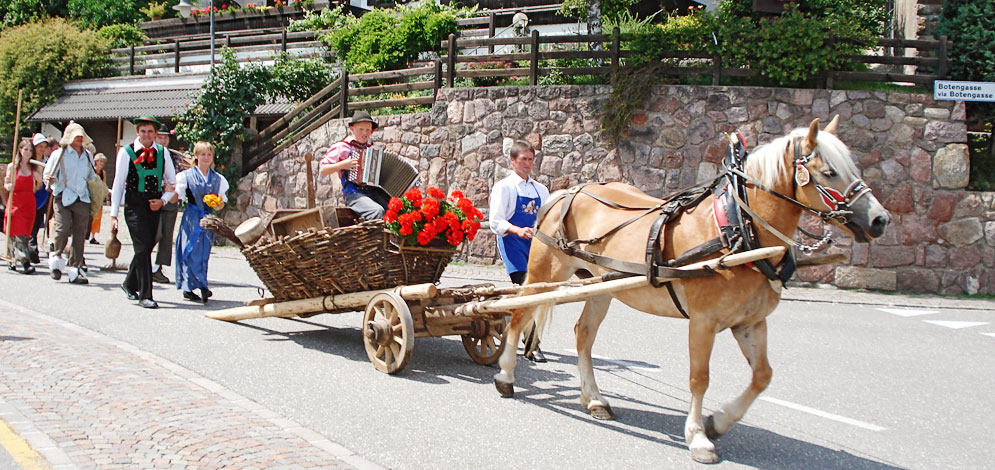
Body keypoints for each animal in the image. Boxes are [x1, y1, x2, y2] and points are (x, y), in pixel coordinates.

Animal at [494, 117, 892, 462]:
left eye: (853, 167)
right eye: (829, 172)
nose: (880, 219)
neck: (739, 229)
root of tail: (566, 192)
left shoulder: (750, 322)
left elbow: (762, 376)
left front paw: (720, 421)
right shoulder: (703, 321)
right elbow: (699, 378)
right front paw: (698, 436)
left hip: (601, 286)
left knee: (583, 334)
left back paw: (594, 399)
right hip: (542, 273)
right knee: (518, 315)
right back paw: (505, 375)